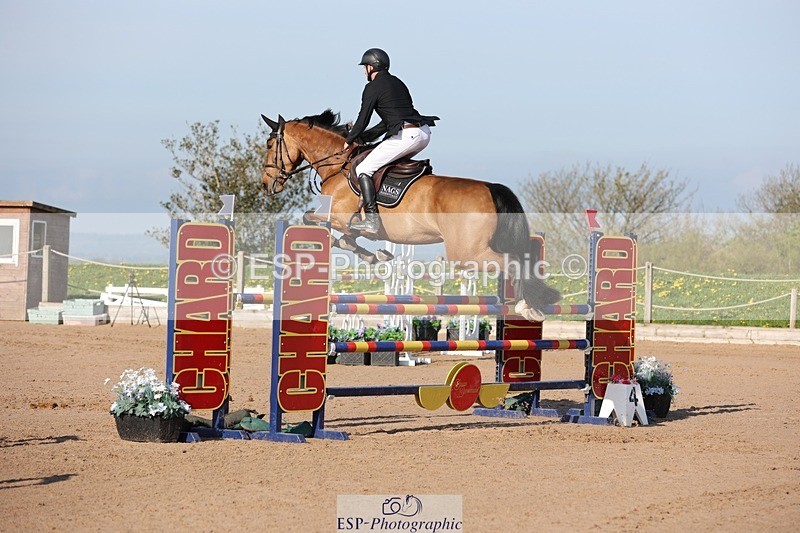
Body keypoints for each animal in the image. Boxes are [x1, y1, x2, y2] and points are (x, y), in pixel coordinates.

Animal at [260, 110, 561, 320]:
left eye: (269, 146)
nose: (266, 184)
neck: (338, 164)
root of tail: (491, 188)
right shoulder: (345, 221)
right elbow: (347, 238)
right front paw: (376, 255)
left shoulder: (338, 216)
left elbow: (316, 221)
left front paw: (369, 252)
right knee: (520, 259)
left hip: (467, 254)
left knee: (513, 262)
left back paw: (525, 306)